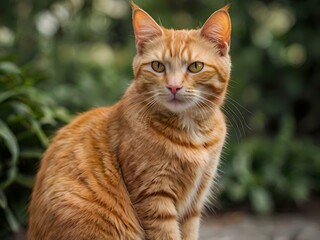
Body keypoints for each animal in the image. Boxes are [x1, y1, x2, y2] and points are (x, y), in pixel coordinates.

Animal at [28, 3, 231, 240]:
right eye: (158, 66)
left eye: (196, 67)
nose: (173, 86)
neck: (192, 132)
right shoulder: (154, 196)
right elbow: (167, 234)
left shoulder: (194, 202)